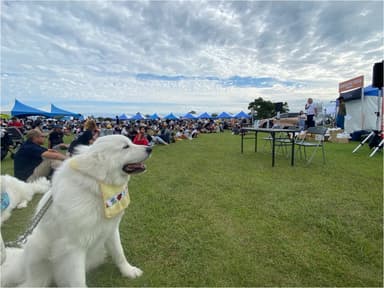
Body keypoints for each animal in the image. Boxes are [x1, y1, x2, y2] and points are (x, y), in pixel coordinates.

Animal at [1, 135, 152, 286]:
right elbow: (78, 280)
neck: (98, 188)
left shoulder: (111, 230)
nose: (150, 148)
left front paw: (128, 271)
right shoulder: (74, 247)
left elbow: (119, 253)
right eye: (126, 146)